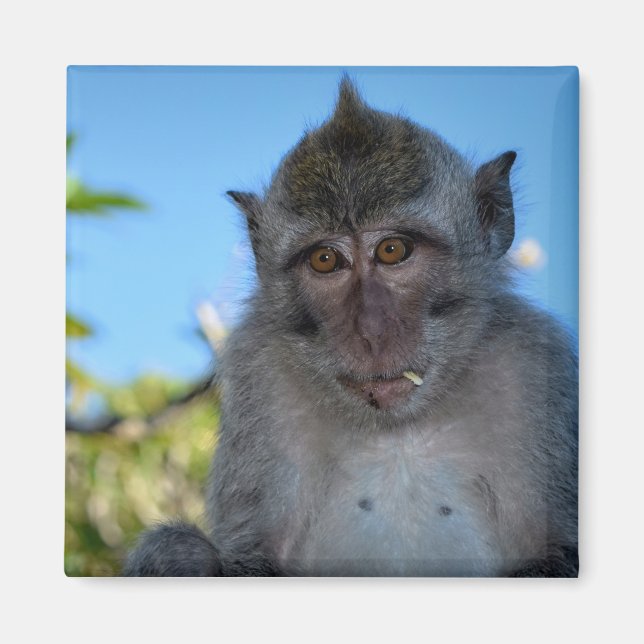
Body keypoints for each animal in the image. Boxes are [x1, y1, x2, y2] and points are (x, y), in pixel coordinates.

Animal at [124, 77, 578, 577]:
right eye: (326, 259)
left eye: (393, 250)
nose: (371, 332)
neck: (399, 431)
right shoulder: (261, 376)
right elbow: (251, 554)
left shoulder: (533, 366)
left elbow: (558, 552)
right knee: (175, 547)